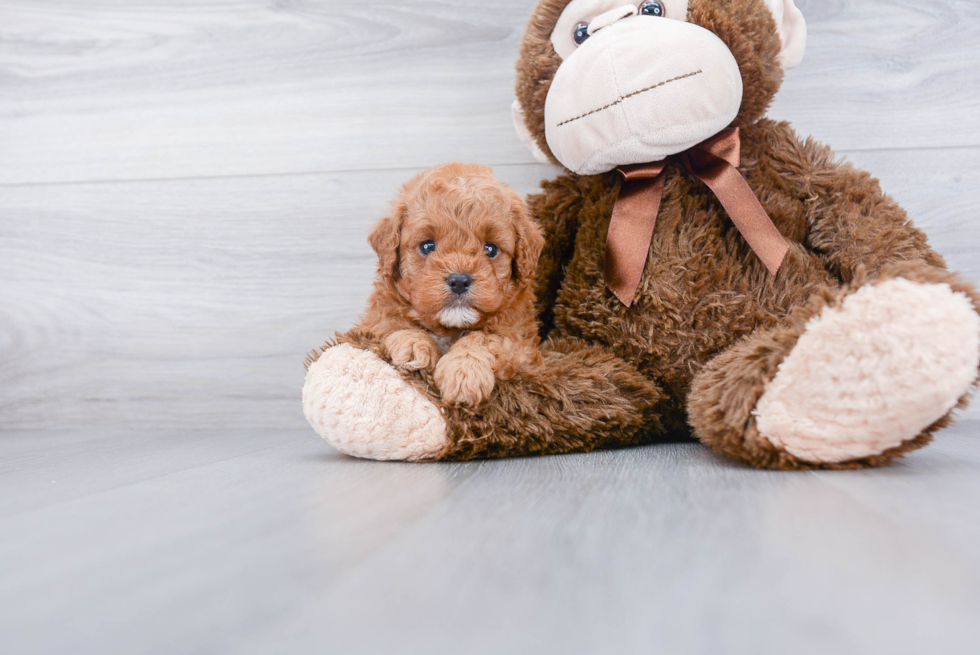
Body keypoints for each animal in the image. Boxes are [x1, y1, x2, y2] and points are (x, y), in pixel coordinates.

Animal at [356, 164, 548, 408]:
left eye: (491, 249)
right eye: (427, 246)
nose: (459, 281)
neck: (449, 330)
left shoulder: (524, 349)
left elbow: (487, 338)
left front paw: (464, 371)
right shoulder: (371, 325)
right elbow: (392, 324)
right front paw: (414, 345)